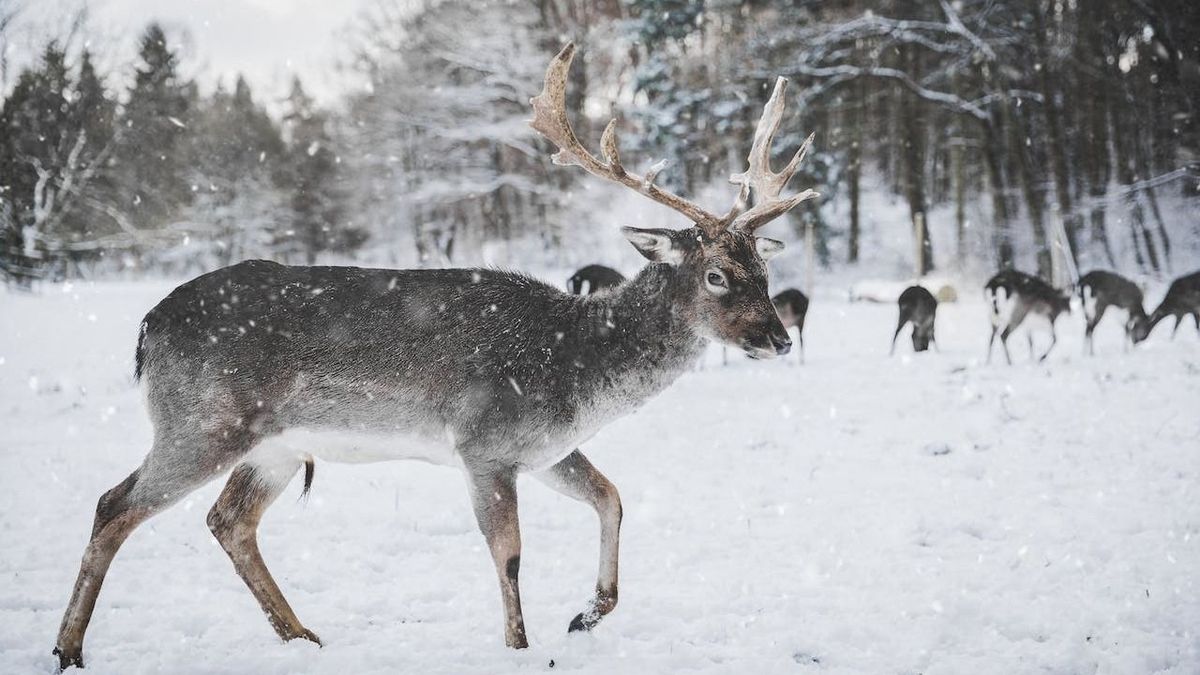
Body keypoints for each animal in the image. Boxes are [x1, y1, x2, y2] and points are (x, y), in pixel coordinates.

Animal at [51, 43, 820, 667]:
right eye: (716, 274)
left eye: (763, 266)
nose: (778, 338)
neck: (578, 370)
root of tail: (147, 327)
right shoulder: (485, 441)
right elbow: (509, 555)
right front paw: (520, 647)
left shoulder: (544, 448)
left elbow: (612, 497)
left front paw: (586, 614)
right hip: (203, 420)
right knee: (114, 504)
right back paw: (70, 649)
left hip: (273, 445)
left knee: (228, 521)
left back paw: (303, 636)